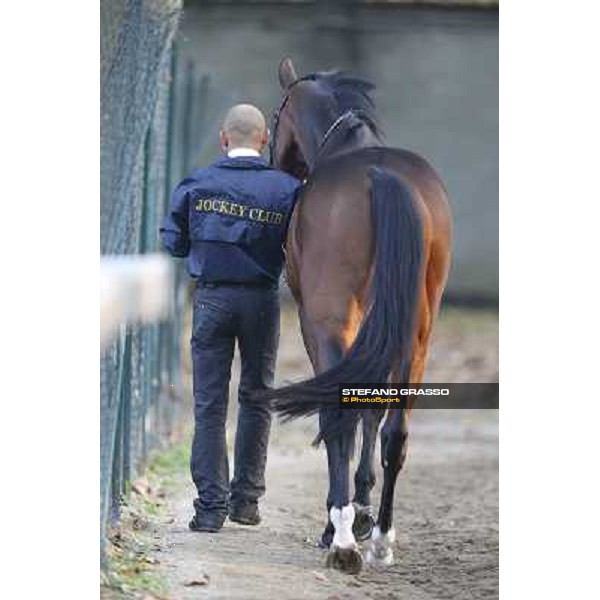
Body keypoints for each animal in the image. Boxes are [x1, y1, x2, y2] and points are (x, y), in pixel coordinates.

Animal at [260, 58, 452, 576]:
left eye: (276, 118)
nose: (271, 164)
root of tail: (380, 177)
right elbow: (372, 408)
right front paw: (364, 513)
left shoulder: (321, 326)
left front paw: (343, 520)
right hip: (415, 337)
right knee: (395, 432)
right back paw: (381, 538)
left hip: (330, 325)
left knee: (340, 416)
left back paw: (342, 540)